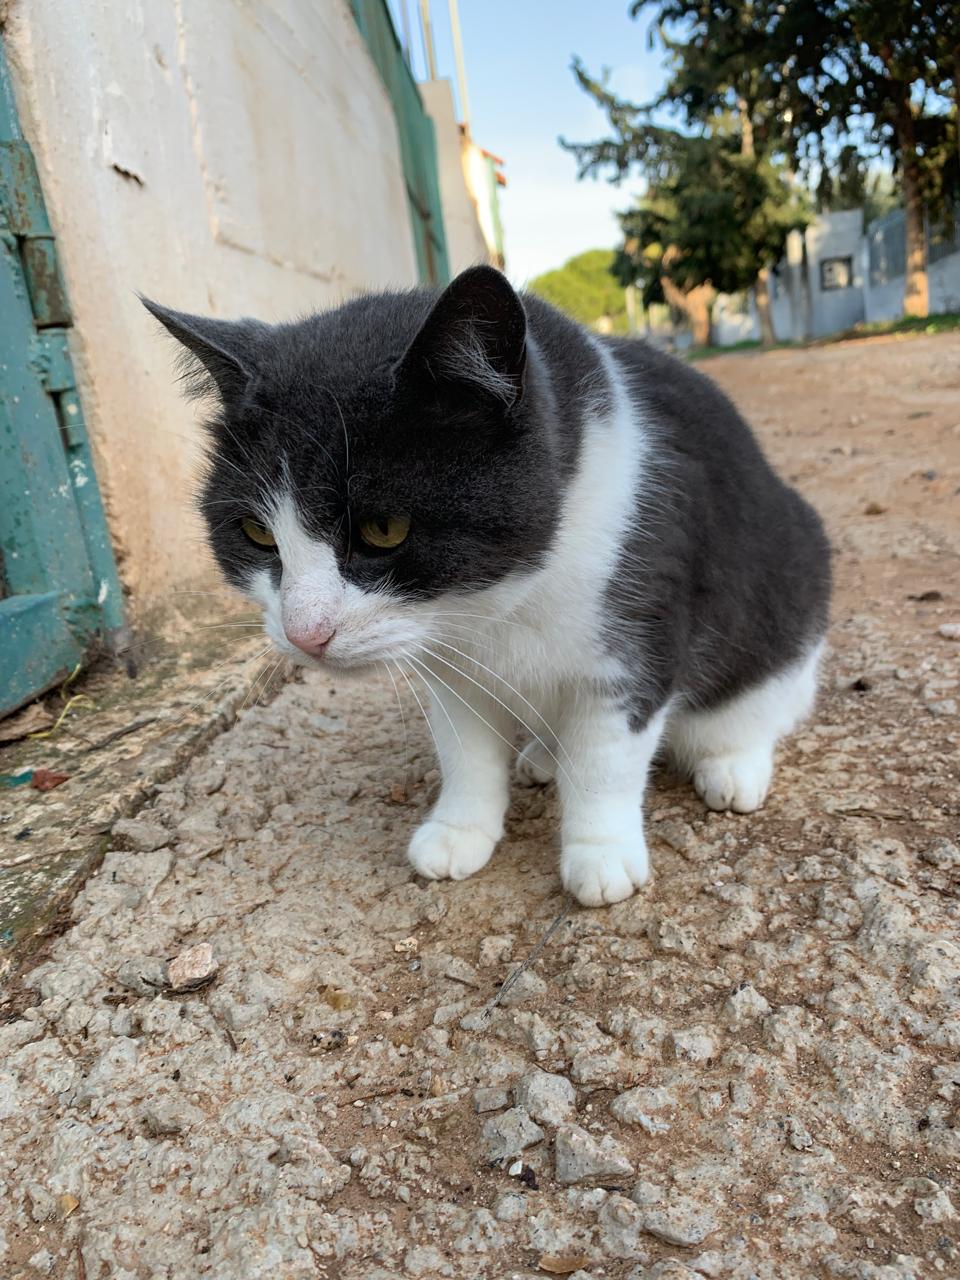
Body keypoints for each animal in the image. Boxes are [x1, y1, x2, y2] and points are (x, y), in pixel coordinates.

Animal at [145, 265, 831, 907]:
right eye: (257, 532)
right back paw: (543, 758)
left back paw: (733, 764)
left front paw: (601, 853)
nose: (304, 633)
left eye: (384, 529)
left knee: (760, 703)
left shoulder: (639, 623)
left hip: (791, 583)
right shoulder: (449, 664)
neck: (498, 602)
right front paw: (460, 830)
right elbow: (465, 749)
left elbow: (606, 755)